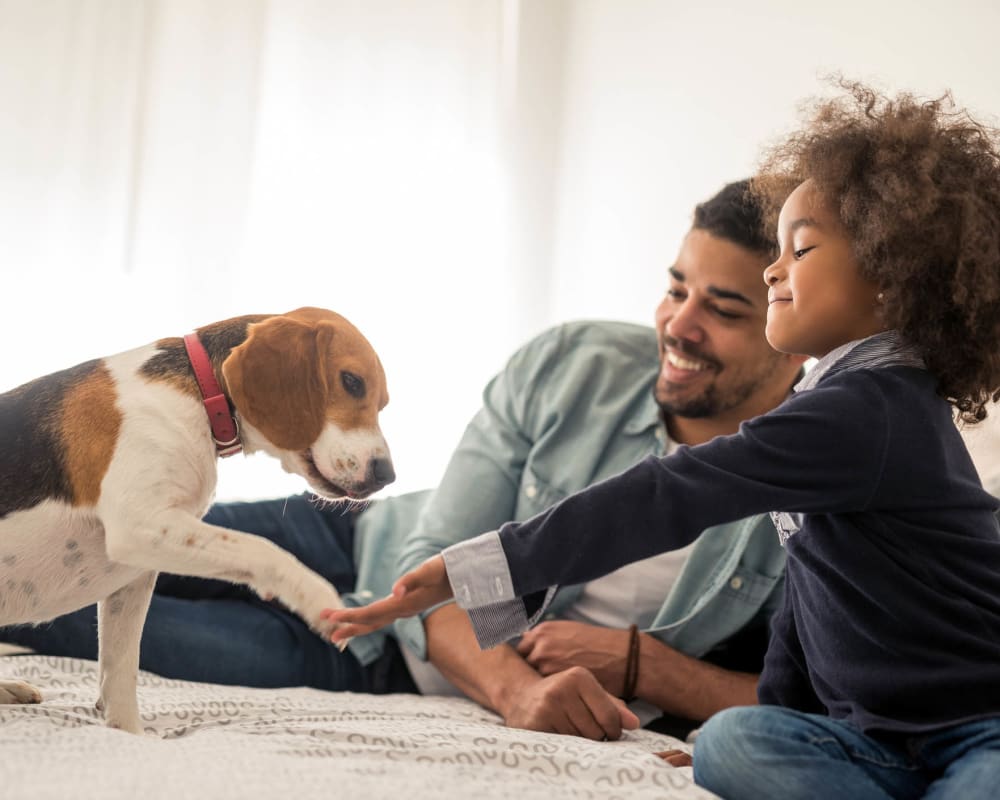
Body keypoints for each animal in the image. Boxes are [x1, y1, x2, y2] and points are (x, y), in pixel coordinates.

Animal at [0, 306, 396, 732]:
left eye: (382, 403)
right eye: (351, 382)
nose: (387, 475)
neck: (199, 394)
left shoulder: (135, 574)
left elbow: (120, 671)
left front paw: (130, 734)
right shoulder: (140, 525)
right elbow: (262, 549)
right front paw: (316, 596)